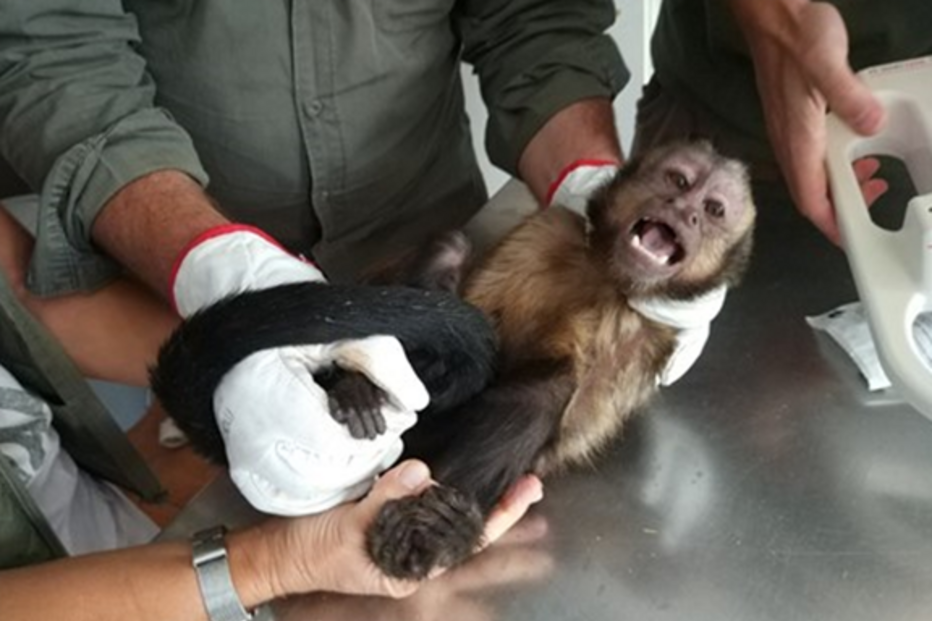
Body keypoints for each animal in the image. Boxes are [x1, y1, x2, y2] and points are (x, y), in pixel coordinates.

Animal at [149, 139, 756, 582]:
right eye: (679, 181)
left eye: (713, 210)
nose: (683, 213)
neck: (607, 275)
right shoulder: (549, 231)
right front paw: (361, 380)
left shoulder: (644, 337)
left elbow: (558, 407)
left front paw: (443, 525)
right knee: (450, 256)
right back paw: (358, 389)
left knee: (542, 391)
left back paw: (441, 523)